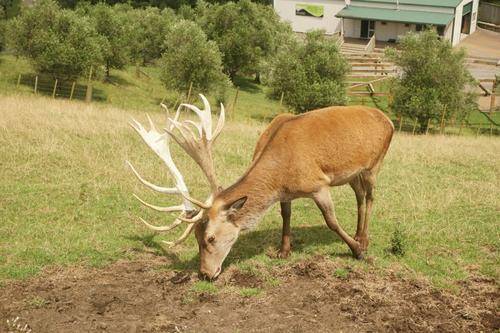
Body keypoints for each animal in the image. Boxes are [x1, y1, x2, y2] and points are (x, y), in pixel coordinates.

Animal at [129, 94, 394, 278]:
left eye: (211, 238)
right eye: (195, 237)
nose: (205, 273)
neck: (280, 173)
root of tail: (389, 120)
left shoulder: (318, 184)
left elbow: (331, 221)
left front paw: (357, 251)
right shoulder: (286, 193)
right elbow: (285, 214)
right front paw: (283, 251)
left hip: (375, 164)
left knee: (370, 197)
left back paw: (363, 240)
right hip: (353, 174)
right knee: (360, 196)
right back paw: (358, 234)